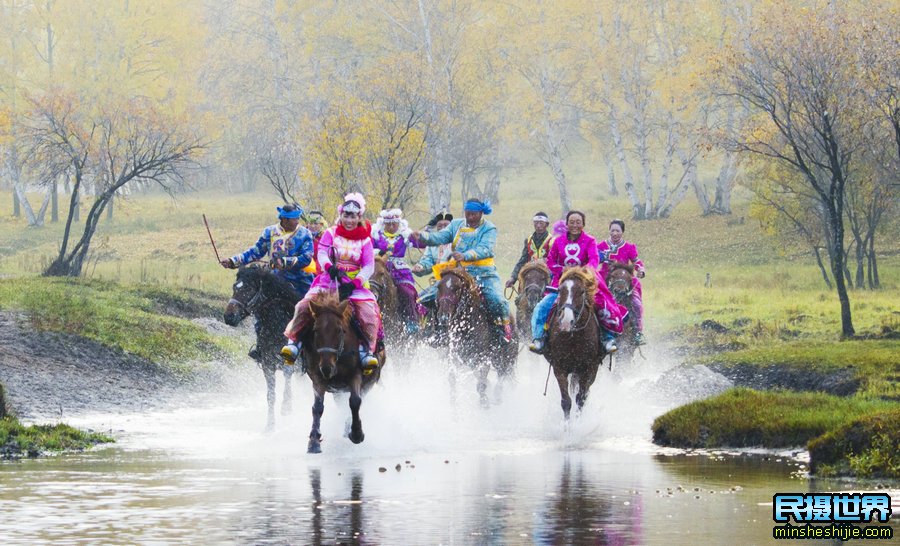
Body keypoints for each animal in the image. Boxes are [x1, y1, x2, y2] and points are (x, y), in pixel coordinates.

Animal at [225, 264, 302, 430]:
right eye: (234, 286)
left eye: (249, 288)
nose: (228, 317)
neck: (277, 326)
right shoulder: (268, 365)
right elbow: (271, 396)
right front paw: (269, 426)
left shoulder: (293, 362)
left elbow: (287, 376)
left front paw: (286, 406)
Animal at [298, 292, 384, 452]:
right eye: (315, 330)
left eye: (339, 330)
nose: (327, 368)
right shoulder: (317, 376)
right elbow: (317, 407)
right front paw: (313, 441)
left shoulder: (355, 375)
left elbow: (355, 402)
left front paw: (357, 434)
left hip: (367, 383)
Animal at [434, 266, 516, 406]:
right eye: (439, 286)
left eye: (457, 288)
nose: (443, 316)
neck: (467, 327)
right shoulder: (455, 356)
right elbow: (452, 379)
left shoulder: (484, 359)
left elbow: (481, 384)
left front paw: (484, 403)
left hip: (505, 359)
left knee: (502, 376)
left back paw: (497, 395)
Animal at [540, 266, 604, 418]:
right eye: (559, 290)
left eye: (581, 291)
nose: (566, 321)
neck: (574, 337)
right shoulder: (559, 367)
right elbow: (566, 401)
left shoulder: (588, 368)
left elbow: (580, 400)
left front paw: (578, 422)